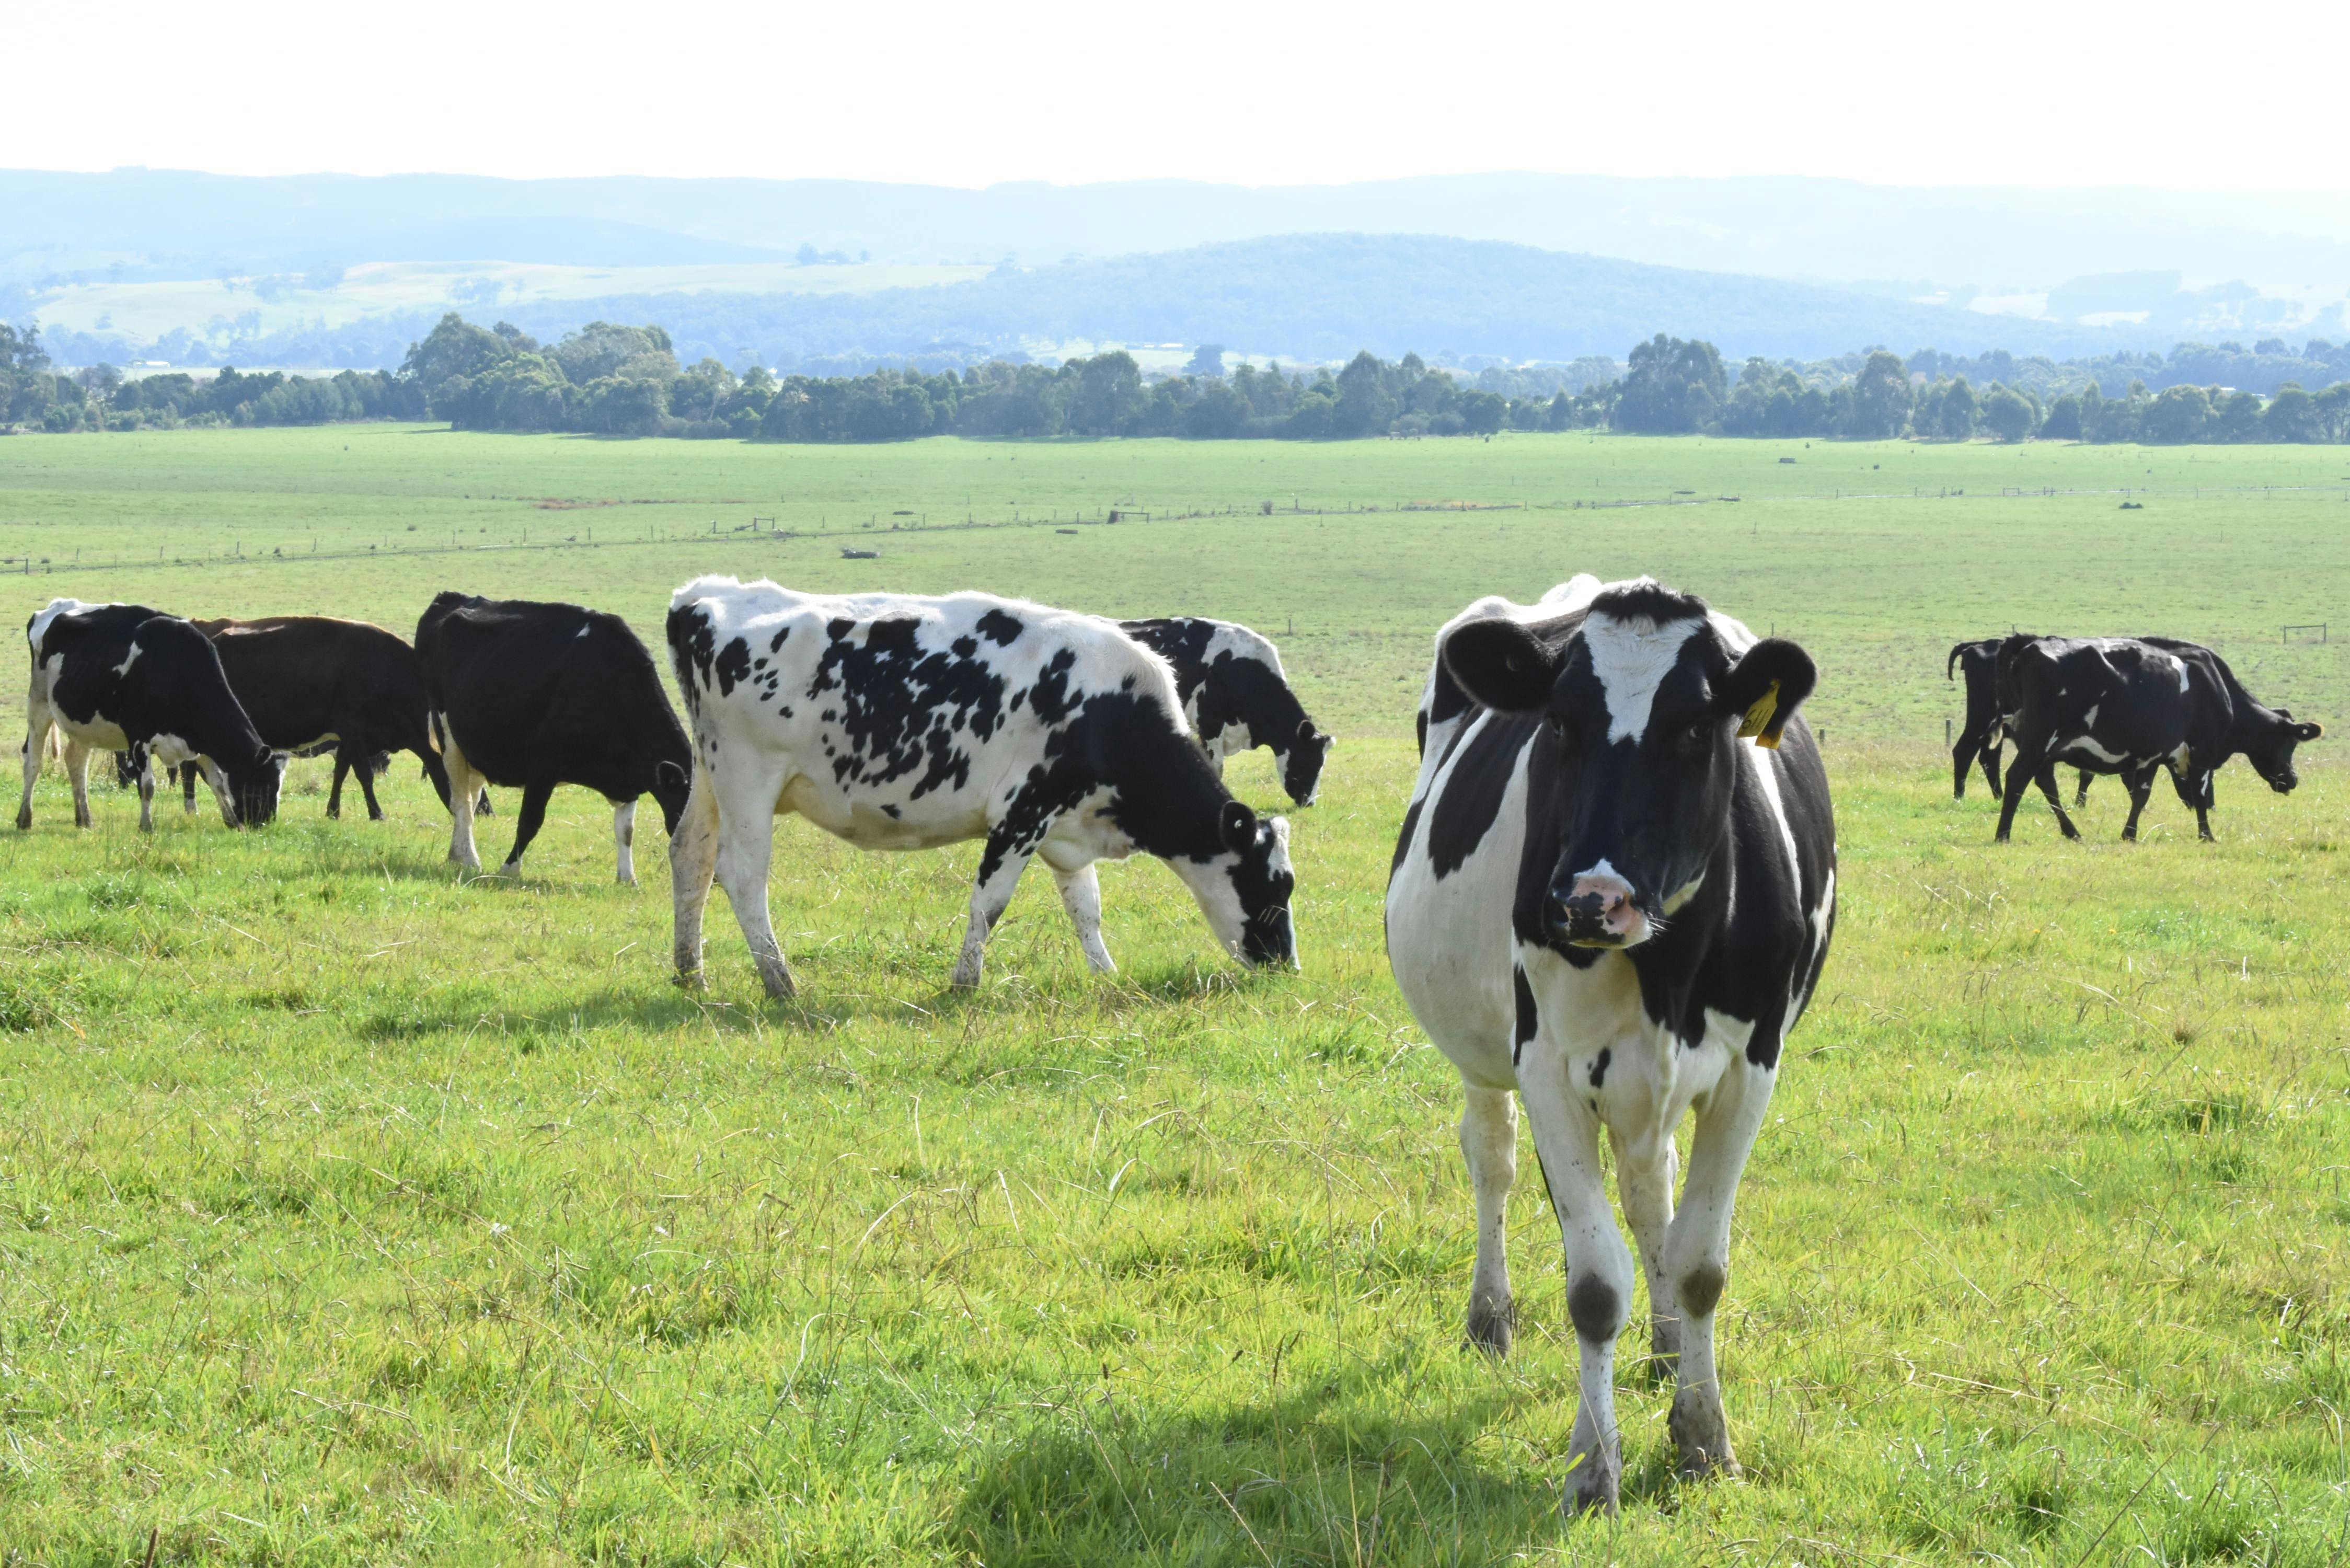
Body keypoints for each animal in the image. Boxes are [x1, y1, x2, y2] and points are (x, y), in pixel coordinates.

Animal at [16, 599, 284, 831]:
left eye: (277, 786)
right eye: (260, 784)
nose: (262, 822)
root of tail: (56, 606)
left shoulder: (203, 740)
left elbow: (217, 781)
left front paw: (231, 821)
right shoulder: (139, 736)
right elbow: (147, 786)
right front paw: (146, 826)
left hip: (83, 723)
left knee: (76, 762)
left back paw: (85, 819)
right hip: (38, 704)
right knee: (33, 761)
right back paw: (24, 818)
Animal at [414, 592, 692, 882]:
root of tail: (453, 598)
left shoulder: (629, 779)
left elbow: (626, 831)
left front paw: (628, 879)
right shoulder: (543, 765)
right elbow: (530, 821)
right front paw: (509, 869)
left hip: (474, 746)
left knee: (471, 798)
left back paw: (457, 855)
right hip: (448, 736)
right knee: (462, 804)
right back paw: (470, 859)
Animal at [665, 576, 1298, 997]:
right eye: (1276, 885)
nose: (1287, 966)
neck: (1110, 710)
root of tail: (703, 595)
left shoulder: (1066, 829)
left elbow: (1085, 909)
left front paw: (1106, 974)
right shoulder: (1022, 815)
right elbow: (989, 905)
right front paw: (965, 983)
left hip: (710, 777)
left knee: (691, 856)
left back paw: (690, 971)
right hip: (749, 779)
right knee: (743, 876)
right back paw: (780, 981)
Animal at [1386, 576, 1835, 1516]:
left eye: (1696, 727)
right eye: (1560, 724)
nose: (1593, 901)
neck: (1664, 967)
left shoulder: (1751, 1069)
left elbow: (1699, 1264)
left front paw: (1703, 1438)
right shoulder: (1547, 1067)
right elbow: (1593, 1285)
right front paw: (1593, 1466)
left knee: (1649, 1189)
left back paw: (1665, 1344)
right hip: (1482, 1051)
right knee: (1491, 1158)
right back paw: (1490, 1318)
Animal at [1993, 635, 2320, 842]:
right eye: (2289, 743)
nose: (2293, 780)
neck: (2217, 687)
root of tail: (2028, 645)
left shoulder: (2151, 755)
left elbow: (2141, 795)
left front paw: (2129, 834)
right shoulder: (2201, 752)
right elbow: (2201, 796)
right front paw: (2207, 836)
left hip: (2041, 748)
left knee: (2046, 784)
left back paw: (2072, 832)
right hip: (2038, 741)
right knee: (2017, 779)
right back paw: (2003, 834)